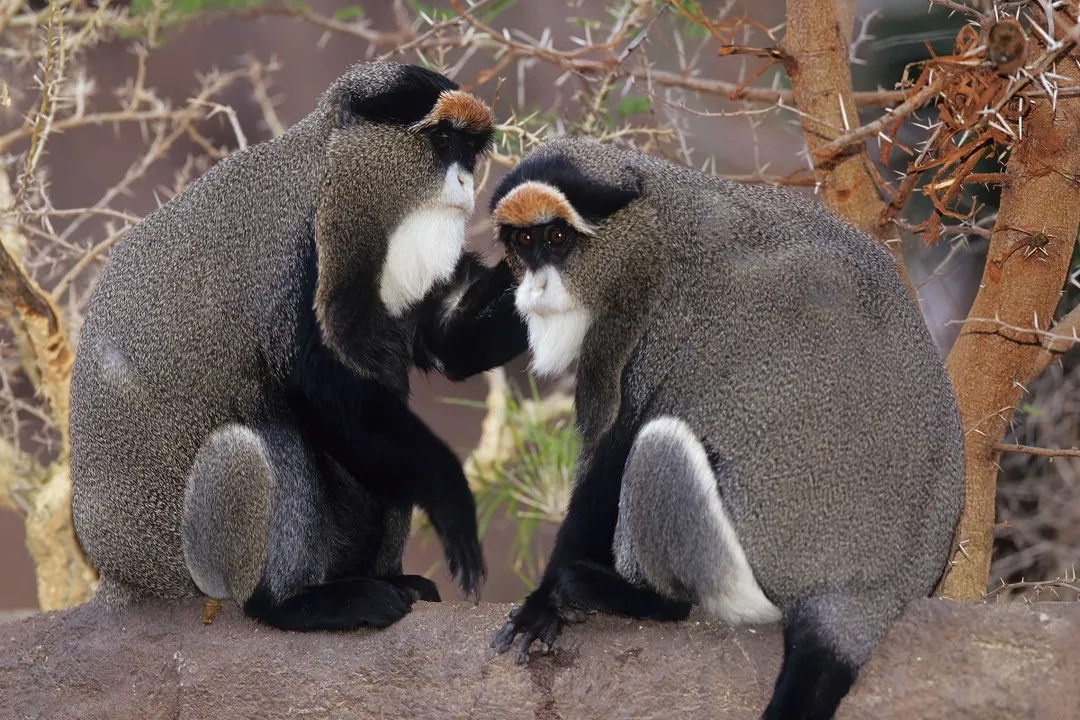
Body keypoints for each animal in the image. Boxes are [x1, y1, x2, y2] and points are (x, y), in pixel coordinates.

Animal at [68, 60, 529, 633]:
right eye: (442, 139)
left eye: (468, 148)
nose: (465, 182)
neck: (334, 180)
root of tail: (119, 574)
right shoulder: (295, 254)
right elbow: (318, 386)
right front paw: (449, 491)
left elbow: (447, 342)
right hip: (184, 558)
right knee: (263, 431)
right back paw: (290, 603)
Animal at [486, 137, 964, 720]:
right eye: (523, 240)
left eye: (557, 238)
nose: (534, 288)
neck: (664, 227)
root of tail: (860, 599)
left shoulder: (648, 329)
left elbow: (611, 457)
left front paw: (544, 599)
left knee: (659, 446)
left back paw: (640, 599)